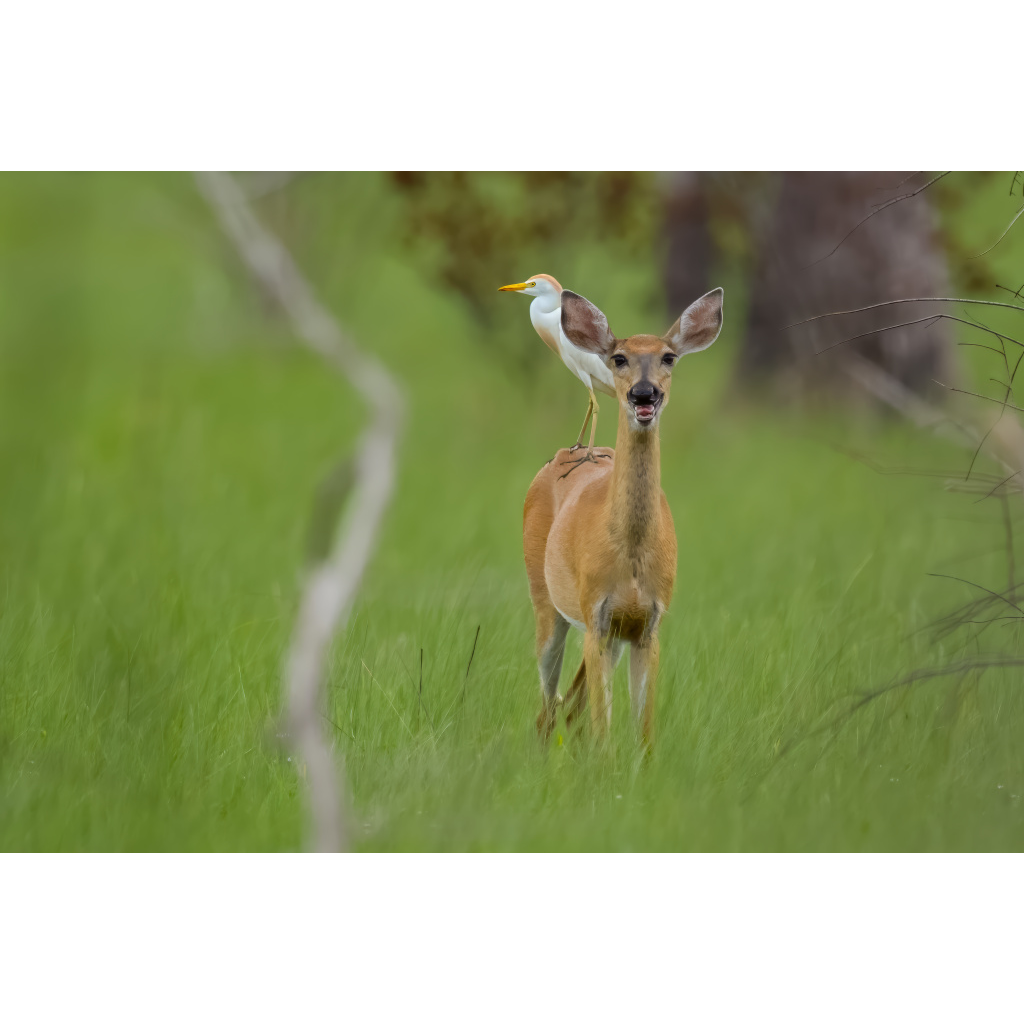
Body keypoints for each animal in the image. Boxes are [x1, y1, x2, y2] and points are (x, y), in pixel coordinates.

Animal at [522, 286, 724, 748]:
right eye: (618, 358)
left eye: (669, 357)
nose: (644, 393)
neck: (630, 556)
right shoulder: (596, 615)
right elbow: (604, 734)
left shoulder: (648, 624)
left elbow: (644, 732)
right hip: (546, 600)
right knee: (549, 708)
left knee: (568, 707)